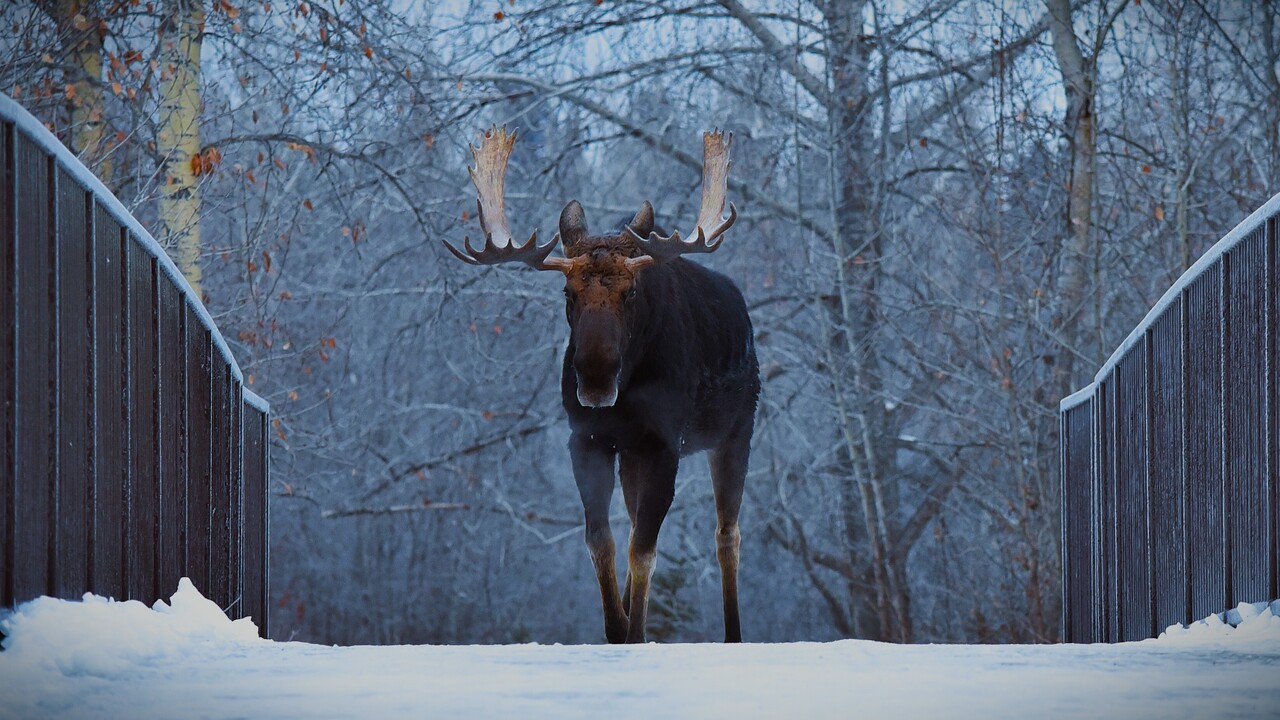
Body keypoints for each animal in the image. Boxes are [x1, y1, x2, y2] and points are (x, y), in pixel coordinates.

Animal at [443, 127, 759, 644]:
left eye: (631, 292)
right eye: (567, 293)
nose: (593, 380)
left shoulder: (664, 442)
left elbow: (643, 550)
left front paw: (636, 634)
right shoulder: (589, 439)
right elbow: (603, 541)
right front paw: (617, 627)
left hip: (736, 431)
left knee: (726, 533)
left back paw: (734, 635)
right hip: (633, 454)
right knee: (636, 523)